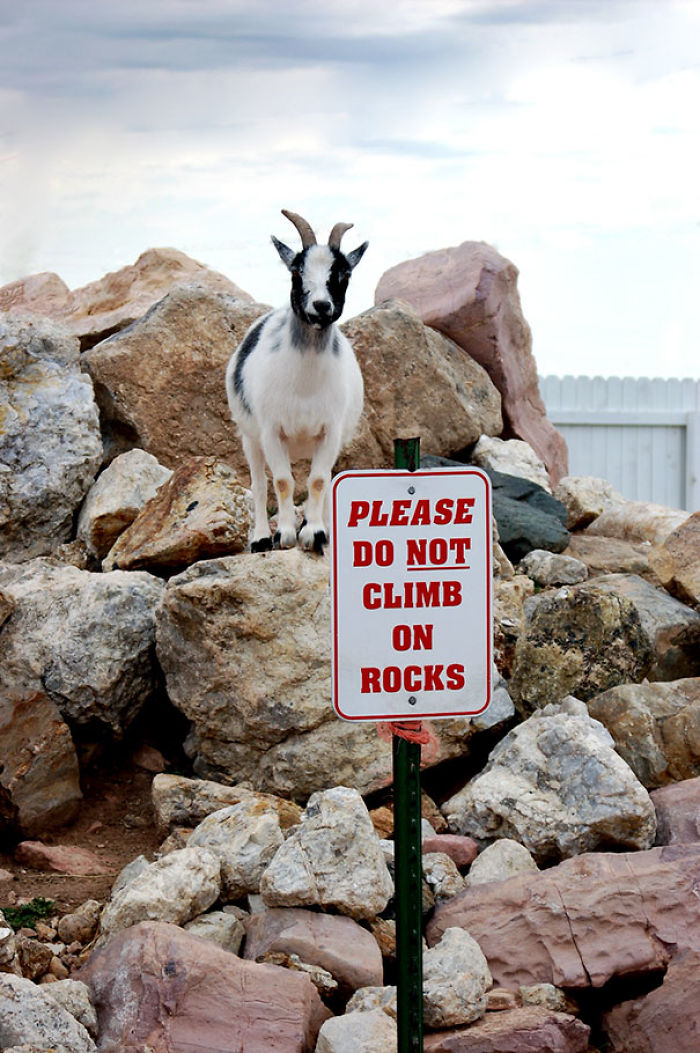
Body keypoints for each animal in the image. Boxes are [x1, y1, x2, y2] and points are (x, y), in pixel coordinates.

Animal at [225, 209, 368, 553]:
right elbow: (281, 481)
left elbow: (318, 480)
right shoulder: (271, 430)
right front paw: (285, 534)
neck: (305, 384)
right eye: (296, 270)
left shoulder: (330, 431)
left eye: (344, 273)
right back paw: (261, 537)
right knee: (259, 484)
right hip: (249, 436)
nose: (321, 306)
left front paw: (314, 533)